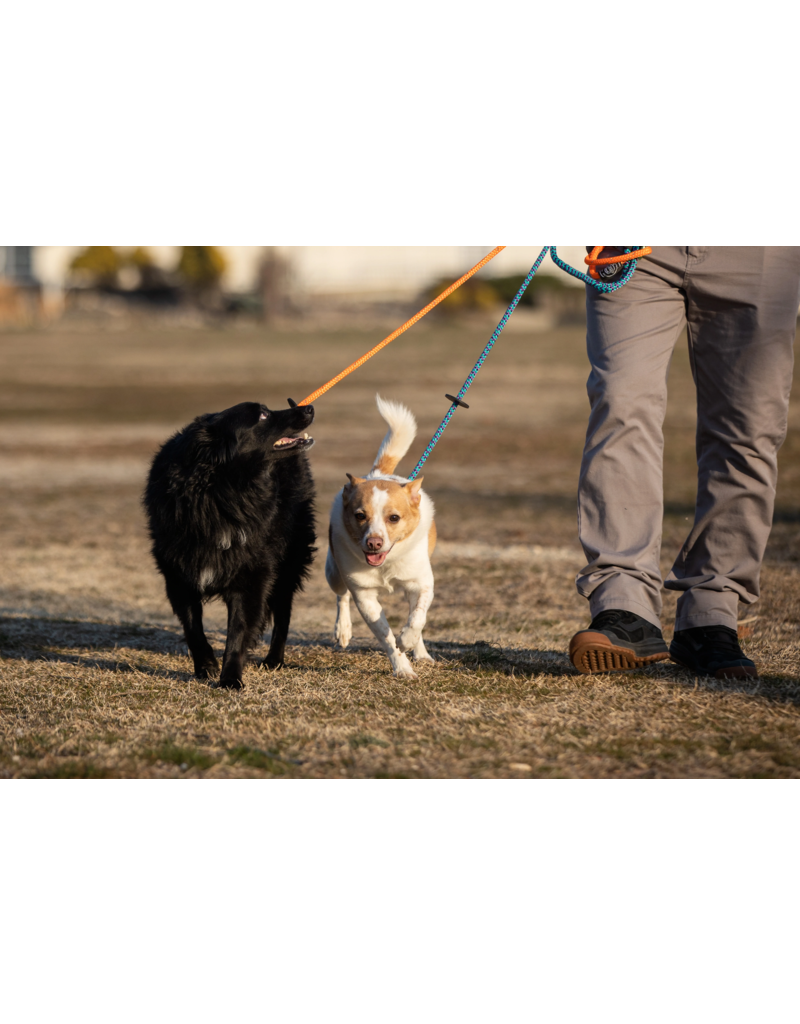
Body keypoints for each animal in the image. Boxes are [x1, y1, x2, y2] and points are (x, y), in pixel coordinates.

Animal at [145, 399, 313, 688]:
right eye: (262, 415)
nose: (309, 408)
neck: (221, 490)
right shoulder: (179, 577)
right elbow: (193, 628)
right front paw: (206, 667)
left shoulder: (252, 576)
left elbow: (238, 631)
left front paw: (231, 678)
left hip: (289, 561)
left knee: (283, 612)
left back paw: (274, 660)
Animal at [325, 397, 436, 679]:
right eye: (360, 515)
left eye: (394, 518)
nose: (373, 543)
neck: (386, 562)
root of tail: (376, 475)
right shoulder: (364, 595)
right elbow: (385, 636)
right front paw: (402, 668)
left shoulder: (422, 583)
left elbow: (418, 618)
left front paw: (407, 641)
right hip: (334, 572)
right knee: (341, 596)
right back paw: (343, 631)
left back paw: (420, 651)